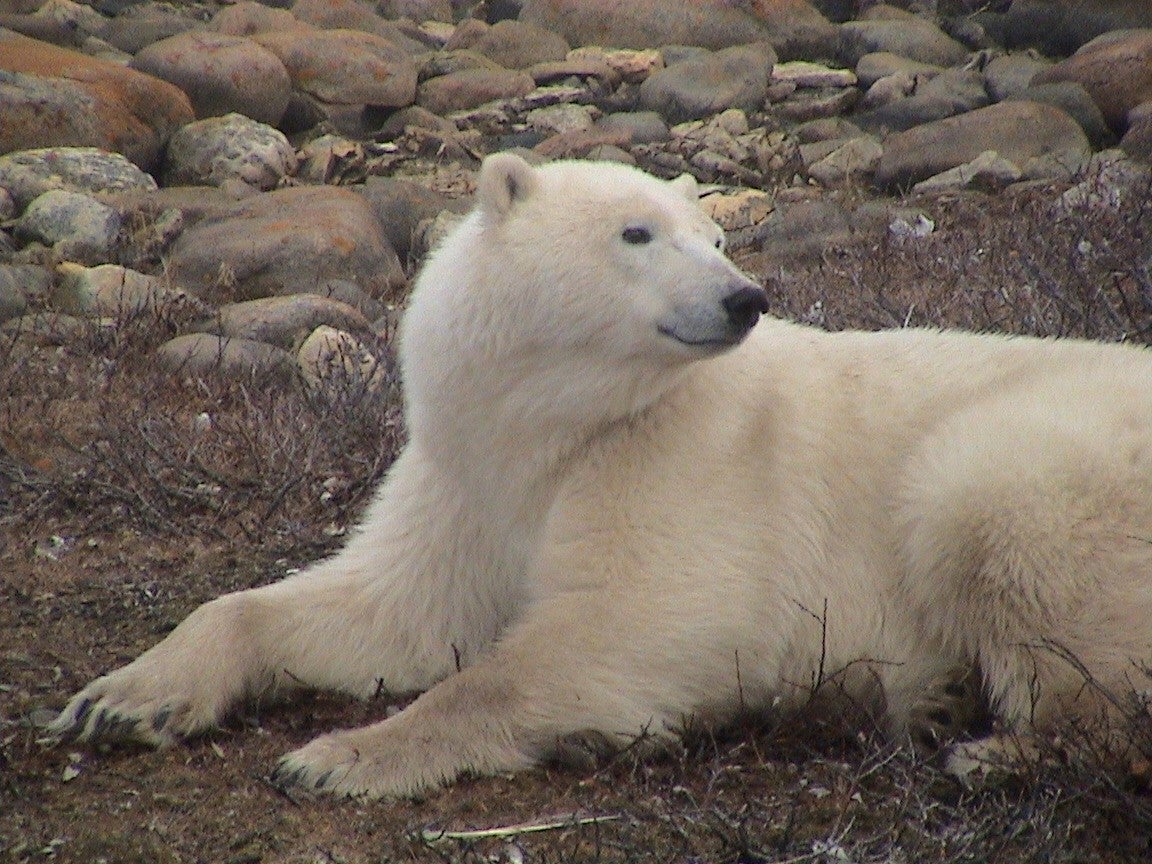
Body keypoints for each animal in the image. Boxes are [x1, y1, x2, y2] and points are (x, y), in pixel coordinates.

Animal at [51, 152, 1152, 798]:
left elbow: (625, 626)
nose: (744, 298)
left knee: (998, 519)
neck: (555, 428)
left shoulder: (674, 461)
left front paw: (334, 759)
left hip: (1038, 458)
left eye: (718, 236)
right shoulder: (465, 479)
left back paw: (999, 746)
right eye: (637, 232)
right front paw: (120, 700)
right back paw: (939, 705)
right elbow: (389, 613)